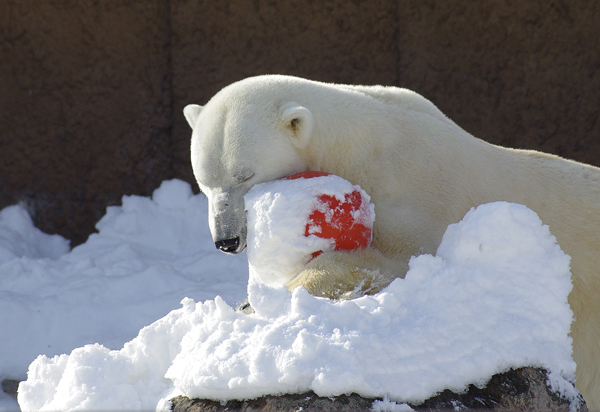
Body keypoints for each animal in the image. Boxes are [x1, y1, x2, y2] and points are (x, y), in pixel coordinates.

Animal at [183, 75, 600, 408]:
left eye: (246, 175)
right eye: (205, 181)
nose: (227, 239)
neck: (363, 145)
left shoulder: (412, 197)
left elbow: (398, 263)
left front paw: (276, 301)